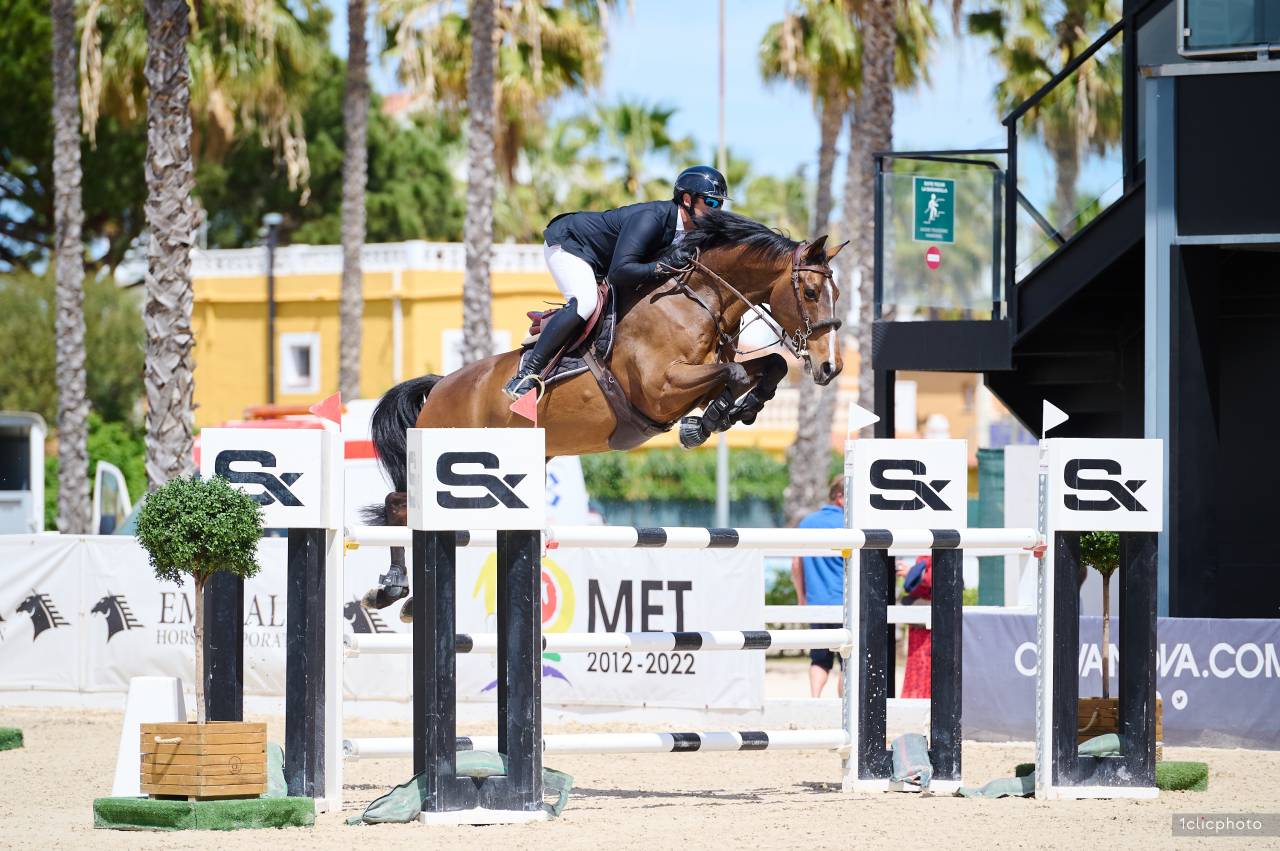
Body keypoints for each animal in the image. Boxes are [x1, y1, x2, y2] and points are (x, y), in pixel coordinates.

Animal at [361, 210, 846, 612]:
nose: (830, 368)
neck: (697, 302)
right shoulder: (661, 388)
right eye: (810, 291)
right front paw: (708, 420)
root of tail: (440, 386)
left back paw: (404, 595)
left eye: (836, 293)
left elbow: (770, 365)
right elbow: (735, 373)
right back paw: (392, 587)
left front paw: (728, 414)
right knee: (398, 504)